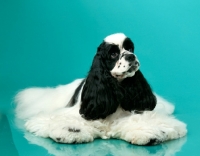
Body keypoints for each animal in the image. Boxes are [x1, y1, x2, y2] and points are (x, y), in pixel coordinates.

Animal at [14, 32, 187, 145]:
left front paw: (150, 132)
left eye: (131, 48)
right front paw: (71, 131)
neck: (115, 88)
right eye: (113, 54)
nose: (131, 56)